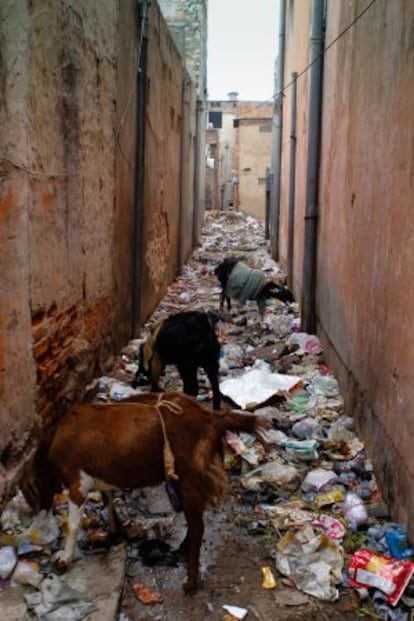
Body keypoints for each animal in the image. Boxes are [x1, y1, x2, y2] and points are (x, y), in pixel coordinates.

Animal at [20, 392, 266, 592]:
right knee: (195, 521)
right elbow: (108, 501)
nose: (39, 515)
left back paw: (190, 582)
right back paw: (183, 549)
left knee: (198, 527)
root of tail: (211, 417)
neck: (53, 441)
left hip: (188, 476)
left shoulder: (76, 482)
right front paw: (115, 531)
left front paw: (64, 558)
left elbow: (72, 524)